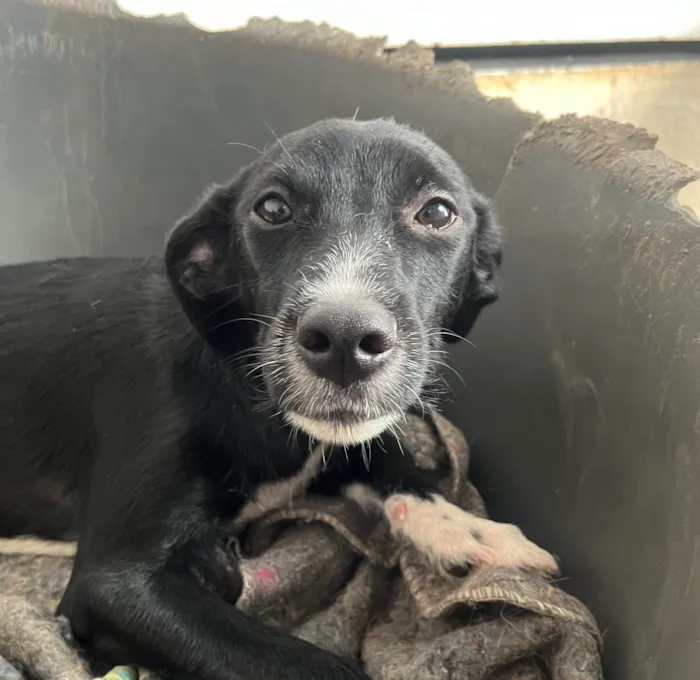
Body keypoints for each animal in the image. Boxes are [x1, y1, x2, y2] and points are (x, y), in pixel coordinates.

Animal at [0, 119, 520, 680]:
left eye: (438, 212)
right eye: (272, 208)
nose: (344, 340)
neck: (242, 377)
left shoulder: (333, 442)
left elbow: (394, 462)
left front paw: (481, 534)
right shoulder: (111, 584)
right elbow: (298, 663)